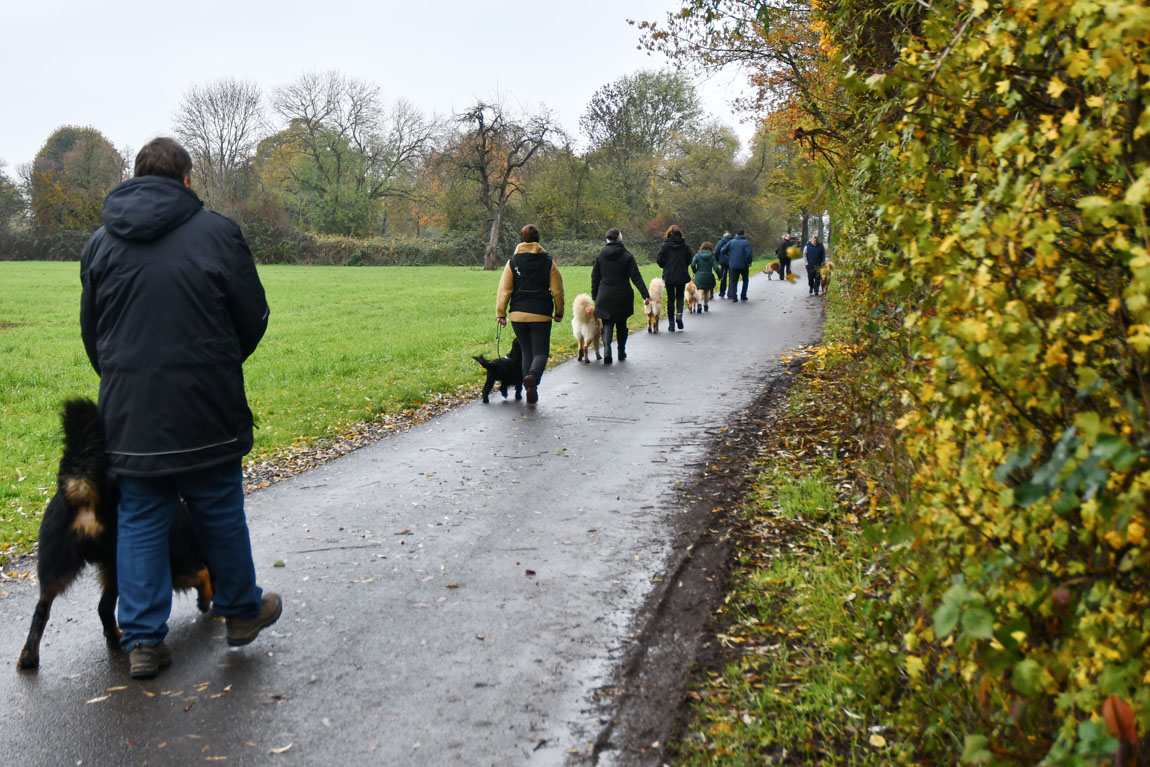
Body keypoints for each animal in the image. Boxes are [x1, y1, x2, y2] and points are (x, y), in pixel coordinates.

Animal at [17, 400, 216, 666]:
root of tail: (88, 492)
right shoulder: (177, 564)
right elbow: (202, 573)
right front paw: (204, 600)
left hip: (65, 566)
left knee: (47, 608)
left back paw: (31, 655)